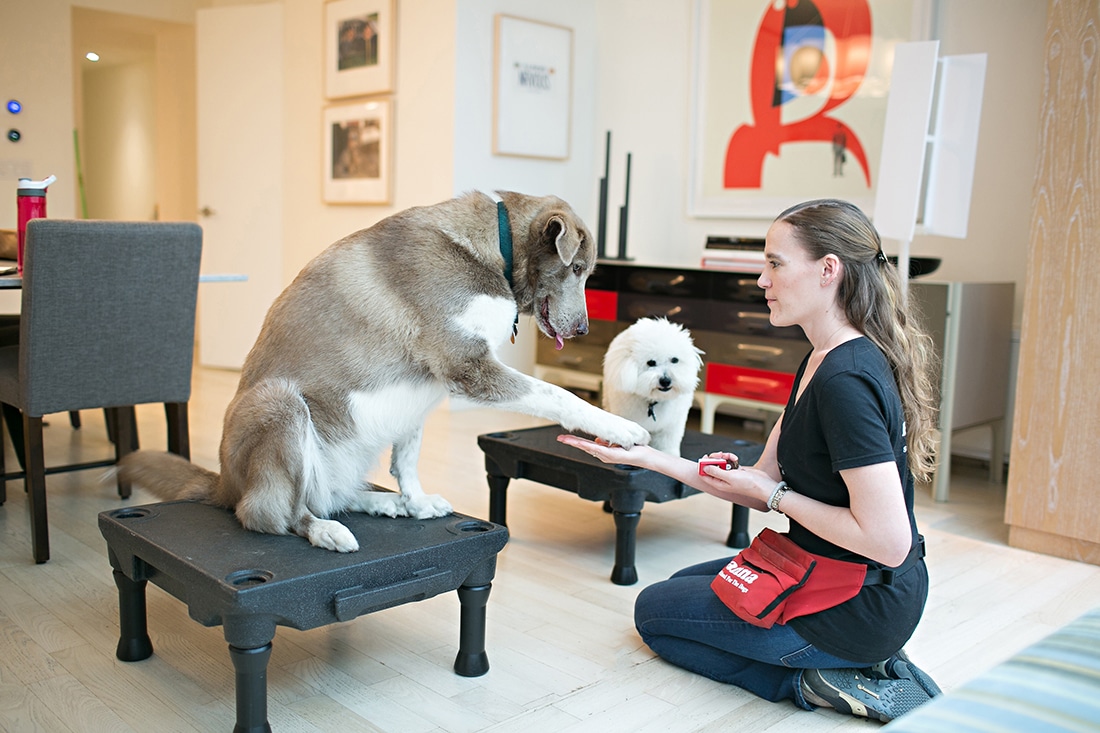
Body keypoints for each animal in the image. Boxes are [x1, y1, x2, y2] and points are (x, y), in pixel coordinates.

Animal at [602, 316, 704, 453]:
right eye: (651, 362)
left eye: (674, 360)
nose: (665, 381)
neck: (654, 400)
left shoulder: (671, 427)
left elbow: (667, 445)